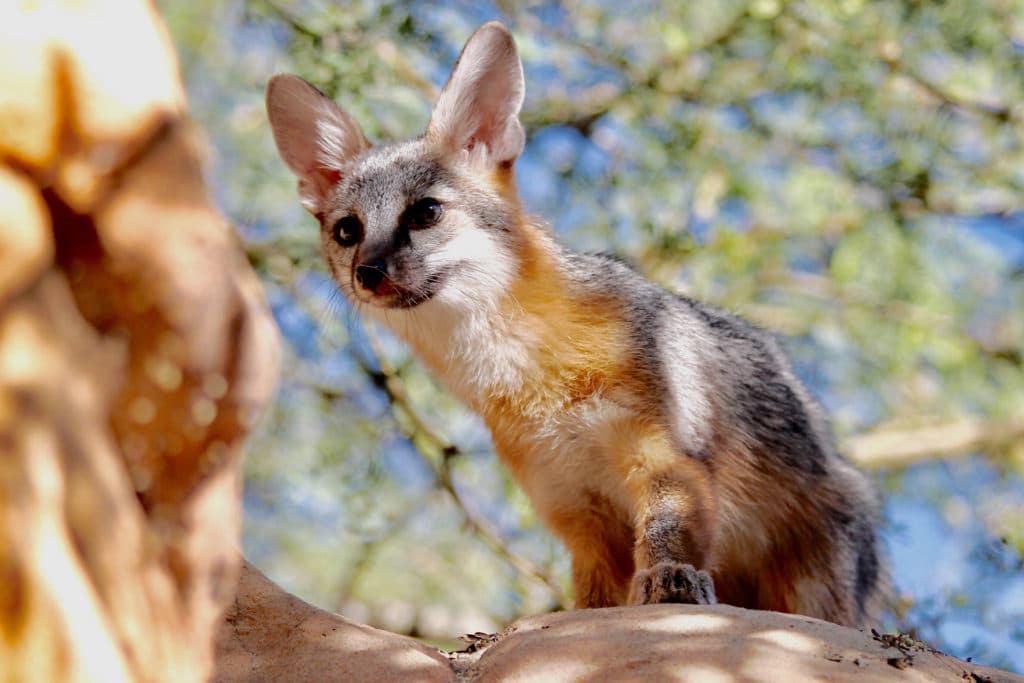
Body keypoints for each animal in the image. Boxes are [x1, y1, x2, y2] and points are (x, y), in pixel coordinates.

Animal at [268, 20, 884, 626]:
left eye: (425, 213)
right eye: (348, 230)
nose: (367, 273)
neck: (529, 373)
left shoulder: (662, 458)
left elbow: (667, 532)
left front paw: (671, 577)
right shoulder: (573, 505)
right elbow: (589, 601)